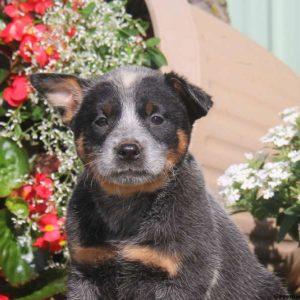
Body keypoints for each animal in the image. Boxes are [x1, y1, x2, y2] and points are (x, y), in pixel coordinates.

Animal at [29, 66, 286, 300]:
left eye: (156, 118)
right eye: (101, 120)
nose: (128, 149)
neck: (127, 203)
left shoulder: (182, 277)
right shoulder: (85, 272)